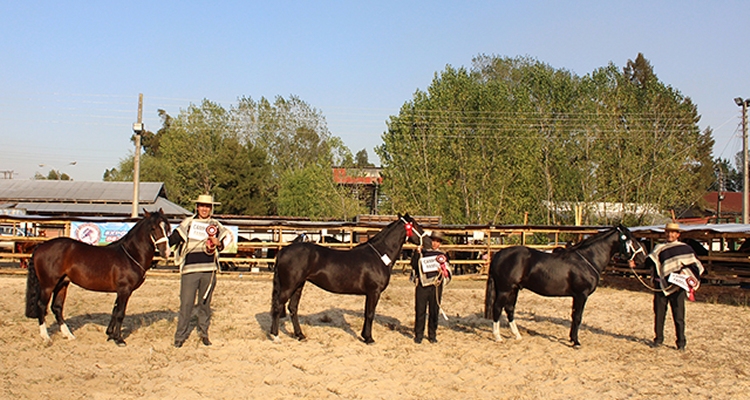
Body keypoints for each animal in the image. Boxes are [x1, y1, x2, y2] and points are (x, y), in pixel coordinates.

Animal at [25, 211, 171, 346]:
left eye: (167, 227)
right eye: (153, 228)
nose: (166, 252)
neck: (130, 255)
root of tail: (41, 246)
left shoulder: (120, 291)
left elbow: (115, 310)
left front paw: (110, 335)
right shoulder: (125, 290)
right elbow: (120, 313)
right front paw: (119, 339)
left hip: (62, 284)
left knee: (57, 308)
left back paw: (68, 335)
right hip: (48, 285)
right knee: (41, 306)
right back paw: (46, 337)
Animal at [270, 214, 428, 342]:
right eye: (416, 225)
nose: (429, 241)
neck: (379, 255)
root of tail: (283, 251)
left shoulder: (369, 293)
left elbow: (366, 313)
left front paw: (364, 336)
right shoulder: (374, 292)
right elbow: (370, 314)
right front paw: (369, 338)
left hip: (298, 285)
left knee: (292, 308)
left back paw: (299, 335)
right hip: (289, 286)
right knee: (278, 306)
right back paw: (275, 335)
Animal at [484, 225, 648, 346]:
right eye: (632, 240)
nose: (643, 258)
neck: (588, 259)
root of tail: (498, 254)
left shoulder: (576, 296)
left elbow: (574, 315)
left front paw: (571, 338)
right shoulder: (582, 295)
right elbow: (578, 317)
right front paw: (576, 342)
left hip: (514, 289)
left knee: (509, 309)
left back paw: (517, 335)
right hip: (505, 290)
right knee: (497, 308)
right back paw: (498, 337)